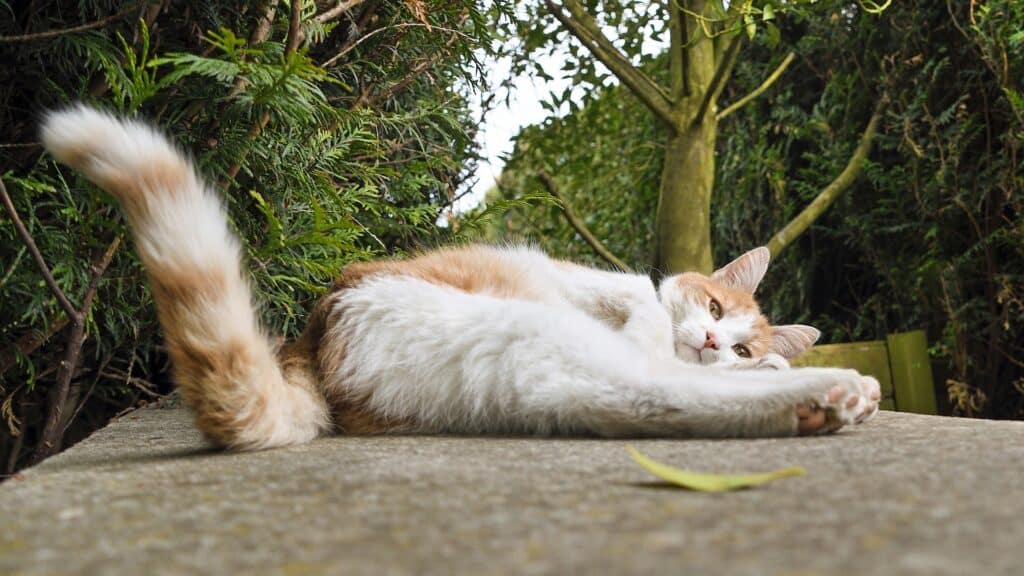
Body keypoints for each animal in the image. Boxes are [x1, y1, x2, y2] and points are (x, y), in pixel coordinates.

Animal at [36, 105, 876, 450]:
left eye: (738, 339)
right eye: (712, 305)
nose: (710, 343)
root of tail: (309, 342)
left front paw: (766, 365)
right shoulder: (590, 282)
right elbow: (637, 300)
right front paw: (656, 324)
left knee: (643, 401)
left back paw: (822, 398)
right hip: (525, 326)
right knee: (647, 390)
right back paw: (825, 394)